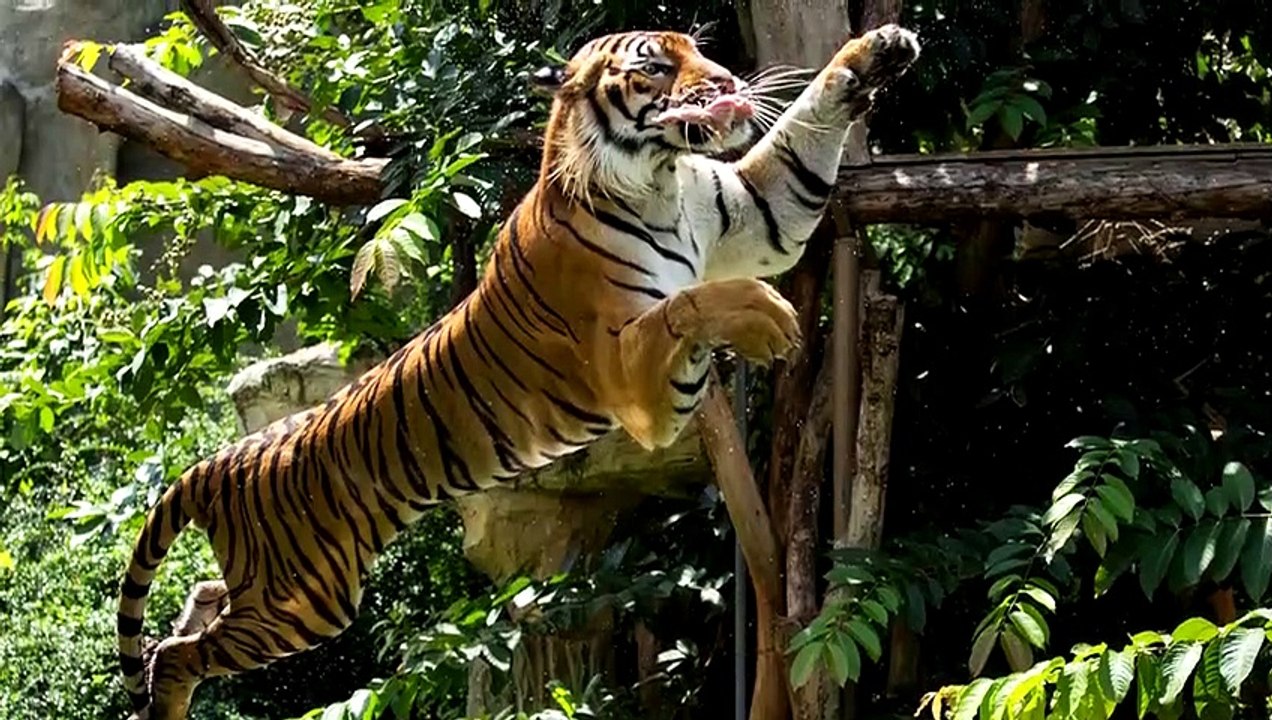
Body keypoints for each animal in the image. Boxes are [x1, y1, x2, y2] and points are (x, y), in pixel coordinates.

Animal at [116, 23, 920, 719]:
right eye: (658, 66)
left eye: (700, 51)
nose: (726, 83)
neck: (659, 180)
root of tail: (219, 462)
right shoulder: (632, 380)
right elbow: (687, 303)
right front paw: (767, 317)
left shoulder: (755, 214)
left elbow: (800, 139)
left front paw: (877, 51)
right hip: (305, 600)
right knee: (176, 658)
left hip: (274, 591)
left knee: (189, 611)